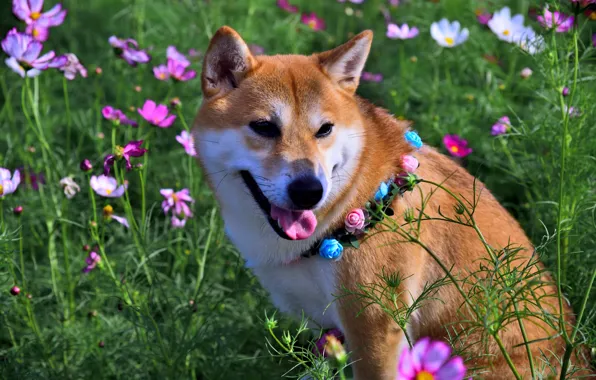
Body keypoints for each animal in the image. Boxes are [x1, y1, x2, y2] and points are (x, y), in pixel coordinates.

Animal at [193, 26, 584, 378]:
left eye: (324, 129)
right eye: (263, 127)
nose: (309, 190)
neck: (352, 202)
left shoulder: (374, 327)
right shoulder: (328, 327)